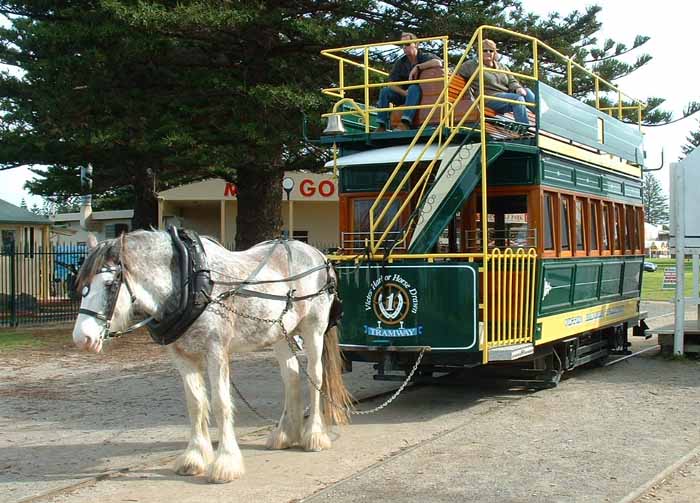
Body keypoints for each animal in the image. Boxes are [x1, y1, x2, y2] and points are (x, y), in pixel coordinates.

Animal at [74, 230, 352, 482]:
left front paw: (226, 463)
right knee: (291, 375)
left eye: (110, 285)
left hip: (313, 328)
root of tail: (317, 254)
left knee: (315, 376)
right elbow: (196, 403)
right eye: (82, 286)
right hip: (280, 334)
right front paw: (194, 457)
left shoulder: (216, 351)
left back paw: (314, 436)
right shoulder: (182, 356)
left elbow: (220, 403)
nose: (82, 339)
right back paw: (284, 434)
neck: (190, 283)